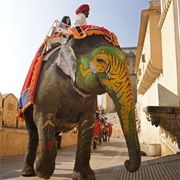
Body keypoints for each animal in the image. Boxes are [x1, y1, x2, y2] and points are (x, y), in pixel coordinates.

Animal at [18, 25, 142, 180]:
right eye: (100, 60)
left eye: (127, 62)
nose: (127, 162)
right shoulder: (46, 87)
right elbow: (43, 117)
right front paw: (41, 171)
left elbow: (87, 124)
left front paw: (85, 176)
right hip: (26, 104)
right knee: (33, 132)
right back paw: (28, 171)